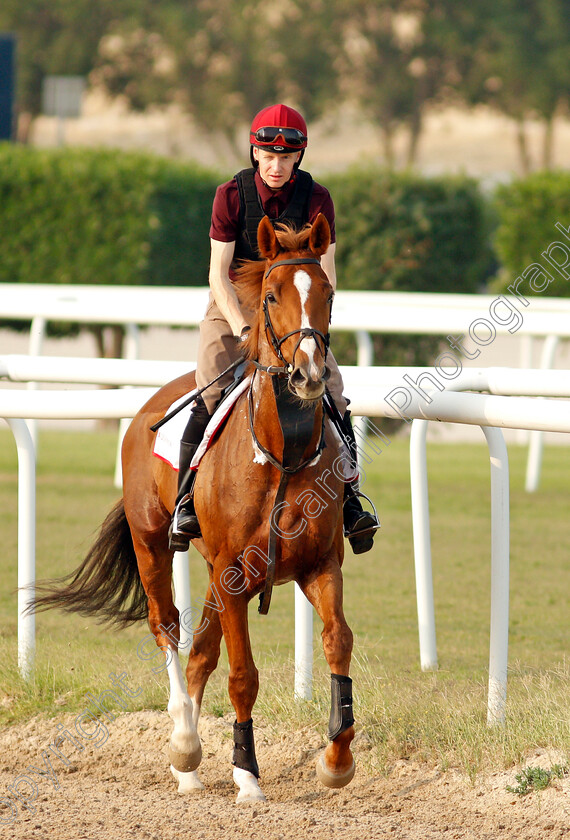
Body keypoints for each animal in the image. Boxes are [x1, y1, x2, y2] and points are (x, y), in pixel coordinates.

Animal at [31, 213, 356, 804]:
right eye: (271, 295)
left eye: (328, 294)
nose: (308, 374)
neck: (281, 453)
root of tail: (147, 406)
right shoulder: (233, 569)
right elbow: (243, 674)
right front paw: (247, 775)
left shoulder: (320, 565)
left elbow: (337, 641)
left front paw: (336, 760)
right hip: (153, 544)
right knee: (168, 628)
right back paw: (183, 742)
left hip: (215, 572)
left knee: (202, 647)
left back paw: (189, 766)